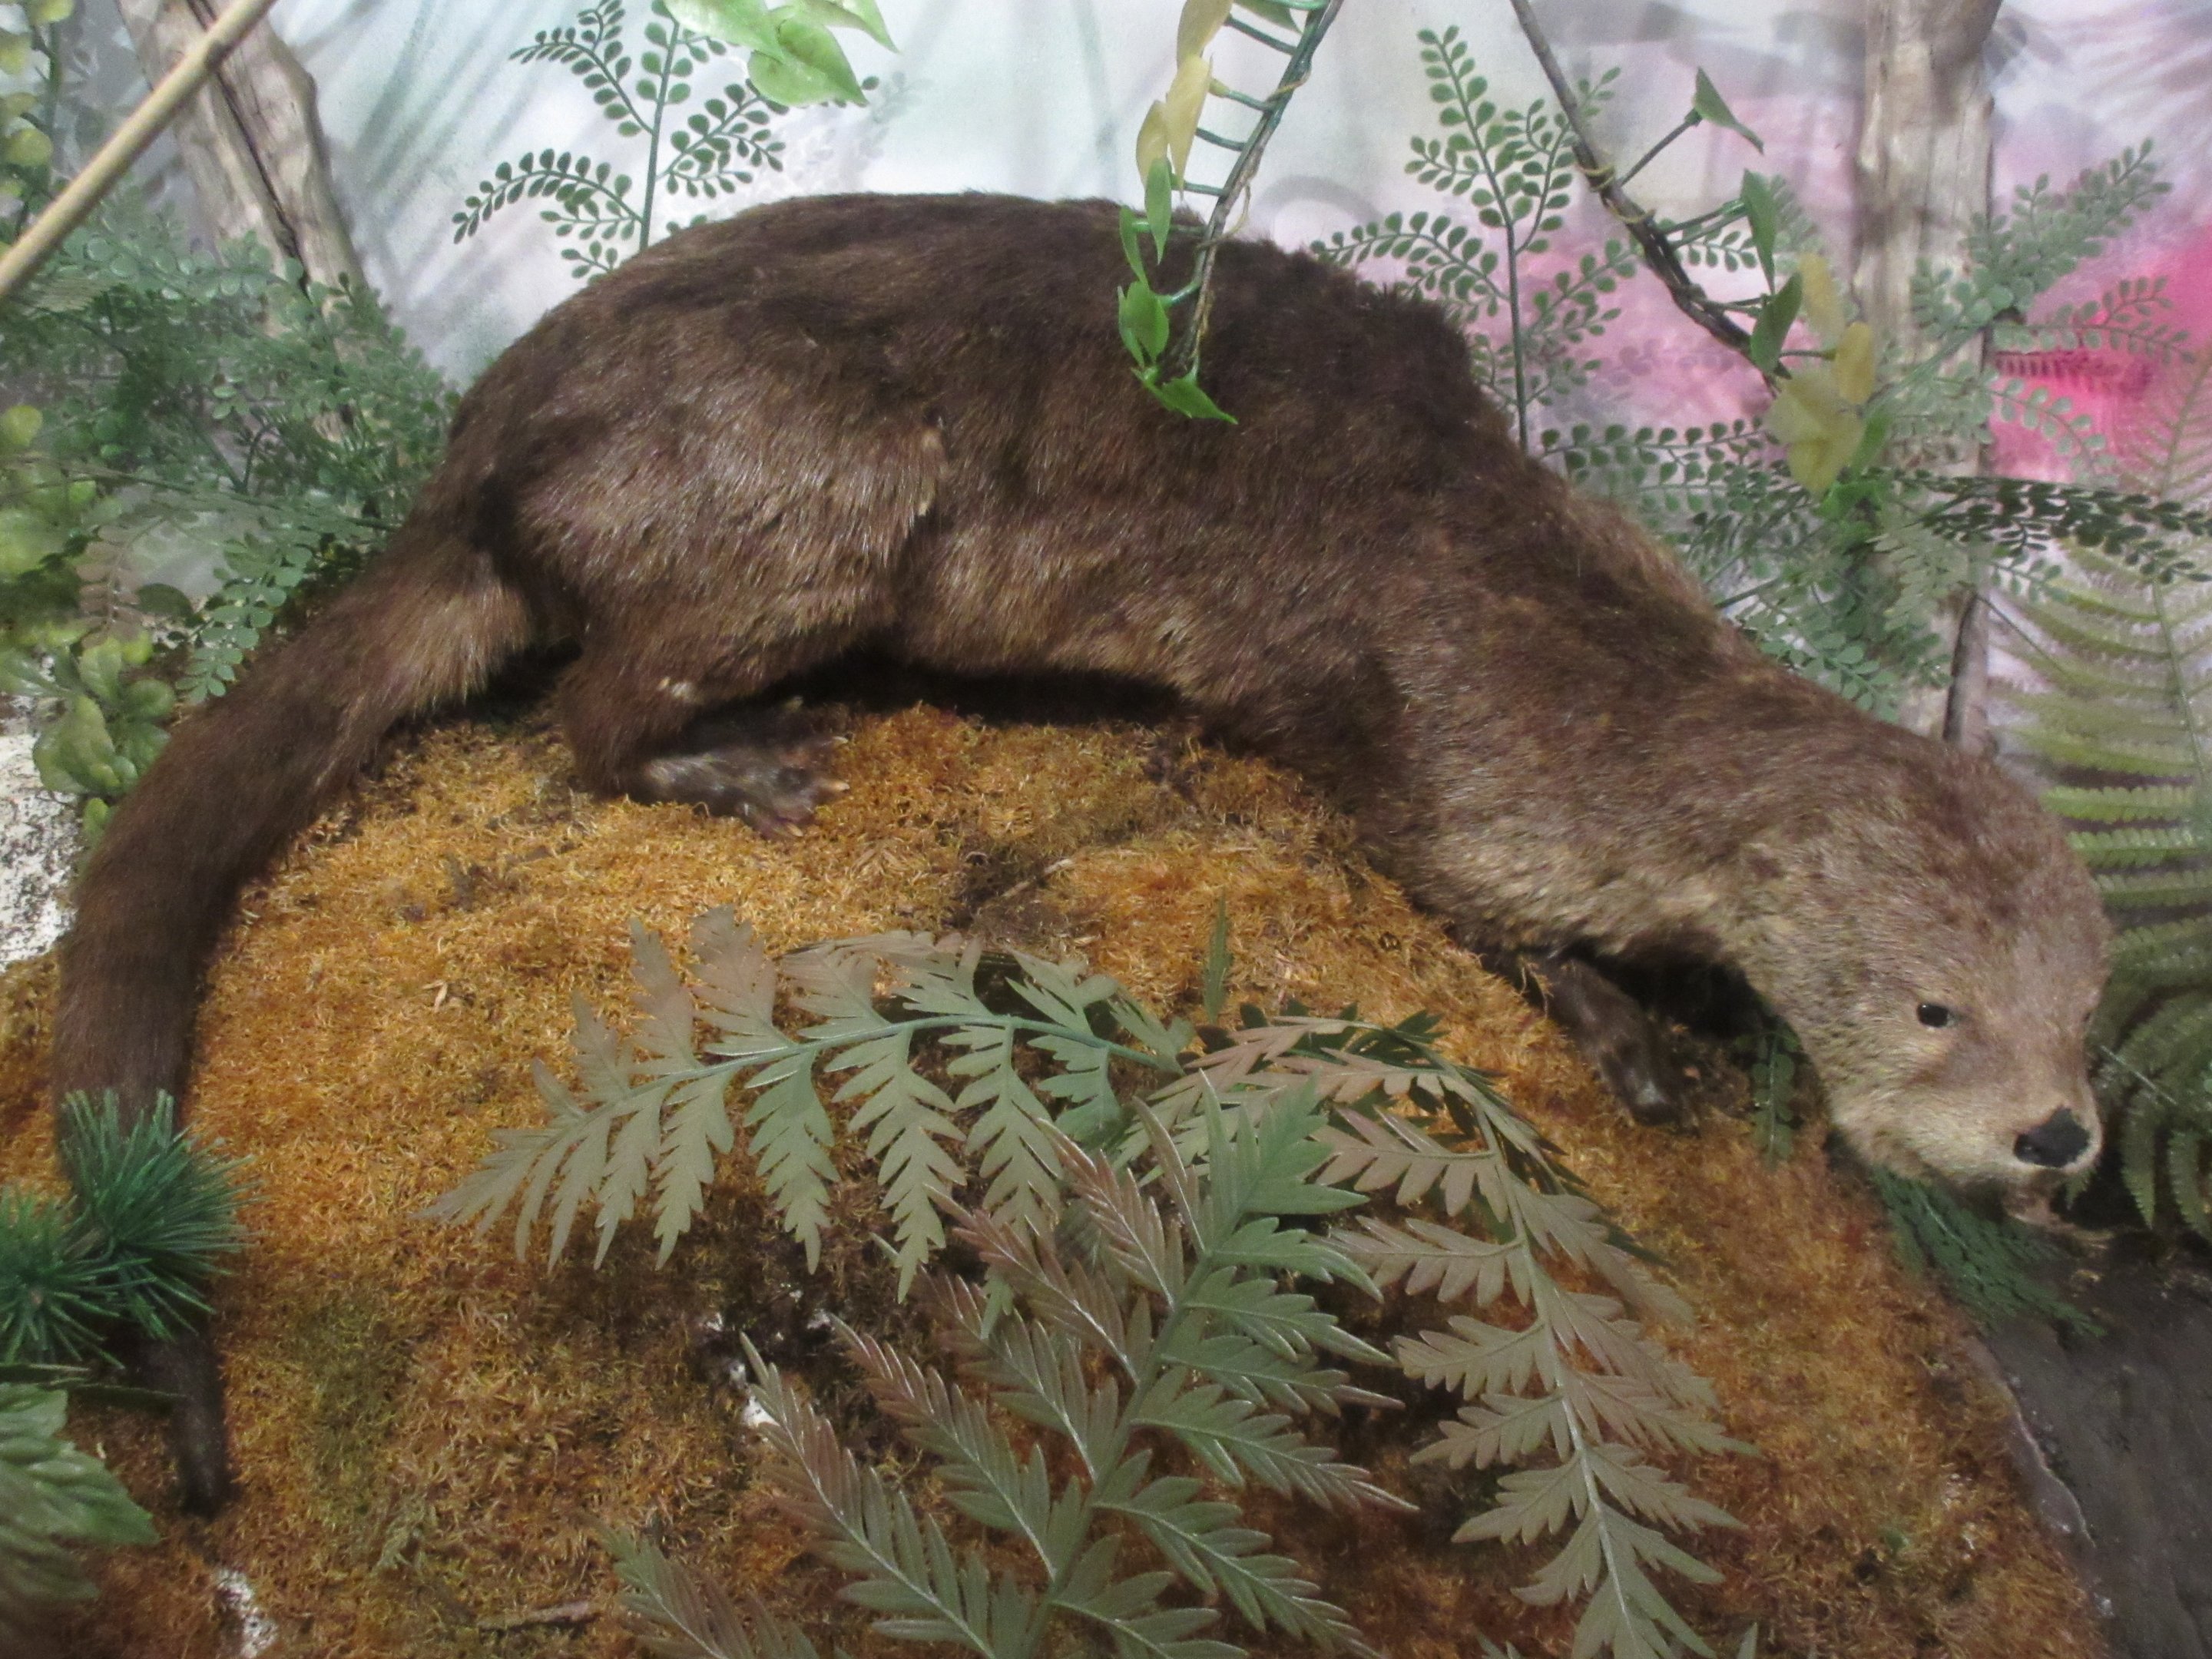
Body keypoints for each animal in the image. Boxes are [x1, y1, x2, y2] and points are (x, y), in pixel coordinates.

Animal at [50, 192, 2110, 1512]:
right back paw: (756, 761)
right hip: (810, 491)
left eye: (2085, 1011)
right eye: (1933, 1008)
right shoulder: (1472, 769)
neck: (1609, 685)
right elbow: (1469, 894)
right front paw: (1634, 1032)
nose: (2056, 1135)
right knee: (593, 705)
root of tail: (478, 455)